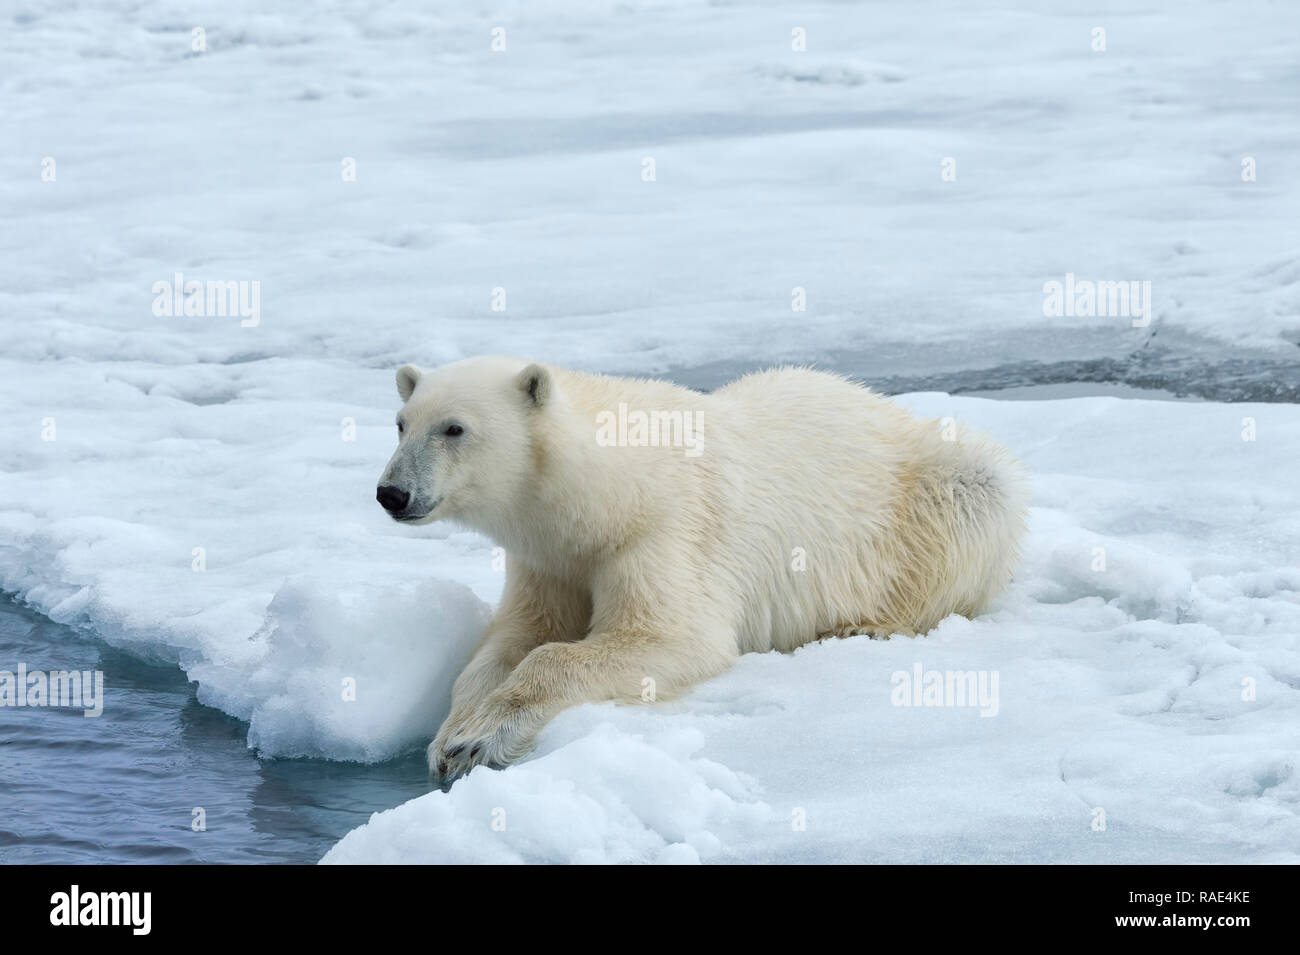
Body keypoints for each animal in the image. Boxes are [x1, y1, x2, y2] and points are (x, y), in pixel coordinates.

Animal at [377, 356, 1024, 784]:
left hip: (932, 489)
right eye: (402, 422)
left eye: (454, 428)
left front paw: (483, 738)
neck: (612, 490)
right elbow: (512, 639)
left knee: (974, 497)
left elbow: (669, 637)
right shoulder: (550, 557)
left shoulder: (665, 531)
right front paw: (450, 737)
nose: (391, 493)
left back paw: (863, 625)